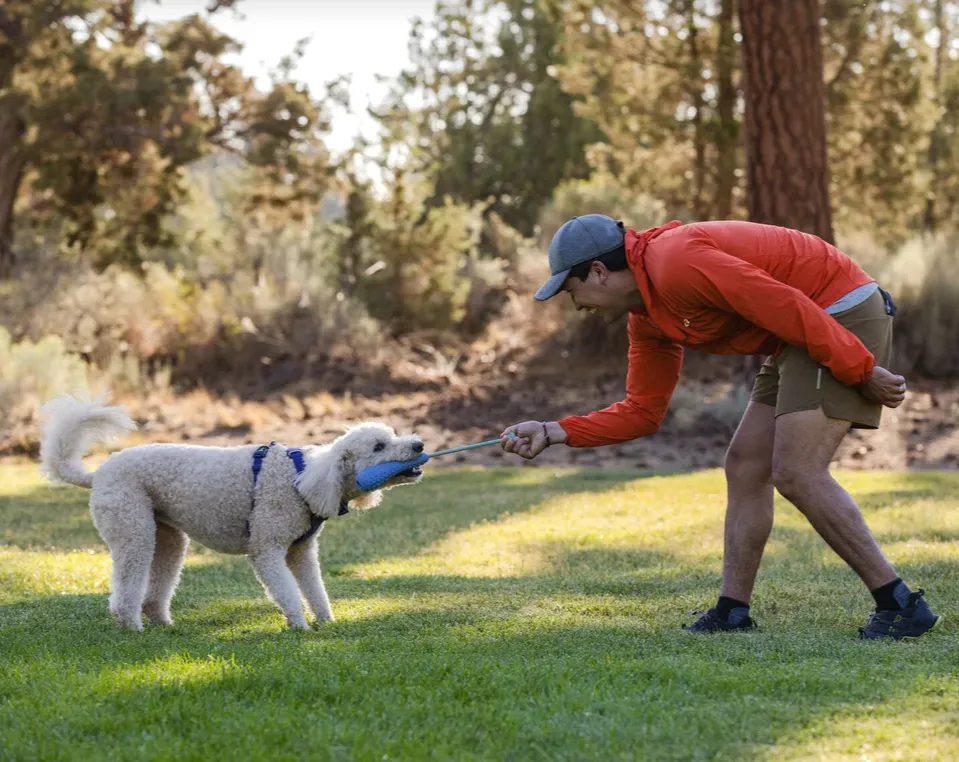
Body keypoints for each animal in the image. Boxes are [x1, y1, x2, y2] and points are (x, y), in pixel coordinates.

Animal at [40, 394, 424, 628]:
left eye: (393, 434)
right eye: (379, 446)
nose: (420, 444)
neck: (302, 477)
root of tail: (96, 474)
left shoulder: (301, 552)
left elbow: (315, 589)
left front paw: (326, 622)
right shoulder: (266, 548)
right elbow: (286, 590)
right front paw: (299, 625)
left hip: (168, 539)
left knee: (157, 586)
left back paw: (164, 624)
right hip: (132, 530)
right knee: (126, 587)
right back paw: (132, 625)